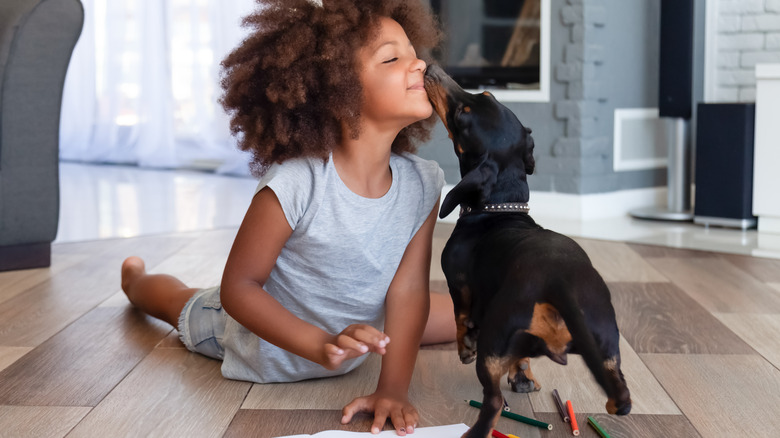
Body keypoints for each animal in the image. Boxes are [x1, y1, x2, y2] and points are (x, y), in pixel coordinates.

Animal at [424, 66, 632, 438]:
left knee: (492, 402)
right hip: (608, 346)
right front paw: (523, 378)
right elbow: (521, 360)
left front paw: (464, 346)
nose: (432, 69)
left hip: (492, 346)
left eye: (463, 115)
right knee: (620, 396)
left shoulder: (457, 284)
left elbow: (461, 318)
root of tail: (559, 284)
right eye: (486, 95)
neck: (501, 208)